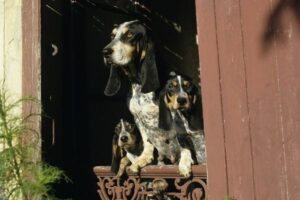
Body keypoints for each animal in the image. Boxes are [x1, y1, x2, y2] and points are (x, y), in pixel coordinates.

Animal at [102, 20, 192, 177]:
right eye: (113, 36)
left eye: (130, 34)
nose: (105, 52)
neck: (139, 85)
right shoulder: (138, 119)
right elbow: (147, 141)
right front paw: (143, 159)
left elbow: (183, 140)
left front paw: (185, 163)